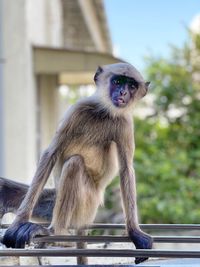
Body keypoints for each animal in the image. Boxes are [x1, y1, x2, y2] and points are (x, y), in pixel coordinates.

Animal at [1, 63, 152, 266]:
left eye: (132, 86)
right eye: (118, 81)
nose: (123, 92)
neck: (103, 113)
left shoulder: (125, 124)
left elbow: (126, 170)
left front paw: (135, 232)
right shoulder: (77, 110)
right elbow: (50, 154)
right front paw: (18, 223)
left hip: (86, 205)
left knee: (75, 164)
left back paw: (57, 236)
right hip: (57, 203)